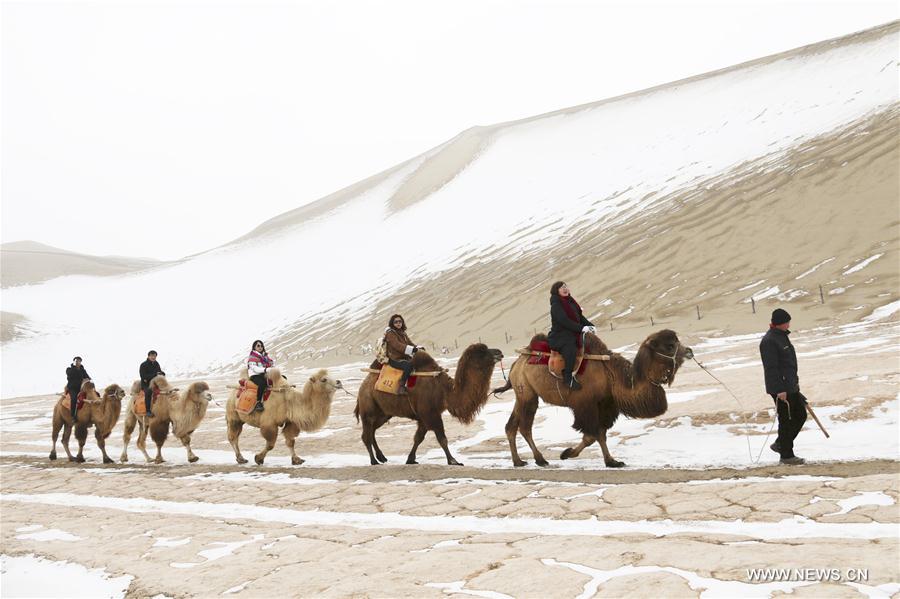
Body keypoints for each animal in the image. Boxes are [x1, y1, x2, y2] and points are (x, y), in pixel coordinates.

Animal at [354, 344, 506, 466]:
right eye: (482, 352)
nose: (499, 352)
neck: (445, 391)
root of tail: (363, 386)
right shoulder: (430, 413)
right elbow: (442, 439)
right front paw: (453, 461)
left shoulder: (424, 416)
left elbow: (418, 438)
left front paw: (410, 459)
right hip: (368, 409)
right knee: (366, 434)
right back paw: (373, 461)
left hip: (384, 413)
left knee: (372, 431)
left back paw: (382, 457)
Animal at [496, 332, 692, 468]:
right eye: (669, 345)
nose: (689, 351)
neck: (612, 375)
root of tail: (518, 362)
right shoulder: (586, 405)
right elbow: (592, 435)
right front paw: (567, 454)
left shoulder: (605, 404)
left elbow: (600, 433)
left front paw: (611, 461)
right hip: (528, 394)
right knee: (525, 427)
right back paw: (540, 459)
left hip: (522, 394)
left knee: (510, 426)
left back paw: (518, 461)